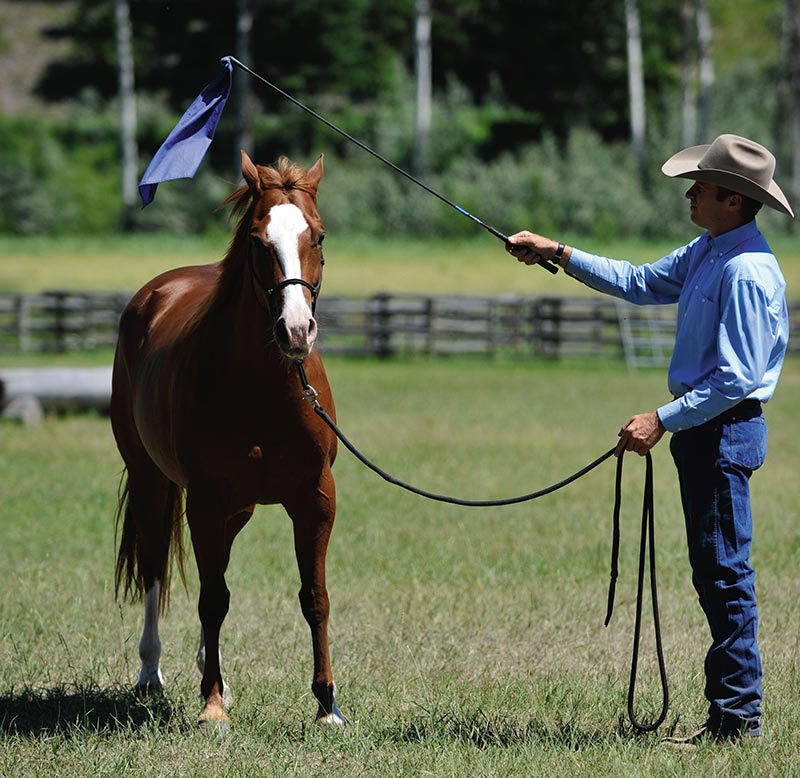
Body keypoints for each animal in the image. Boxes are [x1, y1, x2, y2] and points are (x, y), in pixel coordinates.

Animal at [109, 150, 340, 728]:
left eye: (318, 236)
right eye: (259, 240)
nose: (296, 331)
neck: (265, 385)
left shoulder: (316, 498)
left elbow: (314, 596)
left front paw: (327, 704)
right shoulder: (206, 500)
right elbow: (212, 599)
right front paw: (211, 705)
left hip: (237, 508)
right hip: (152, 482)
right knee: (155, 570)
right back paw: (152, 674)